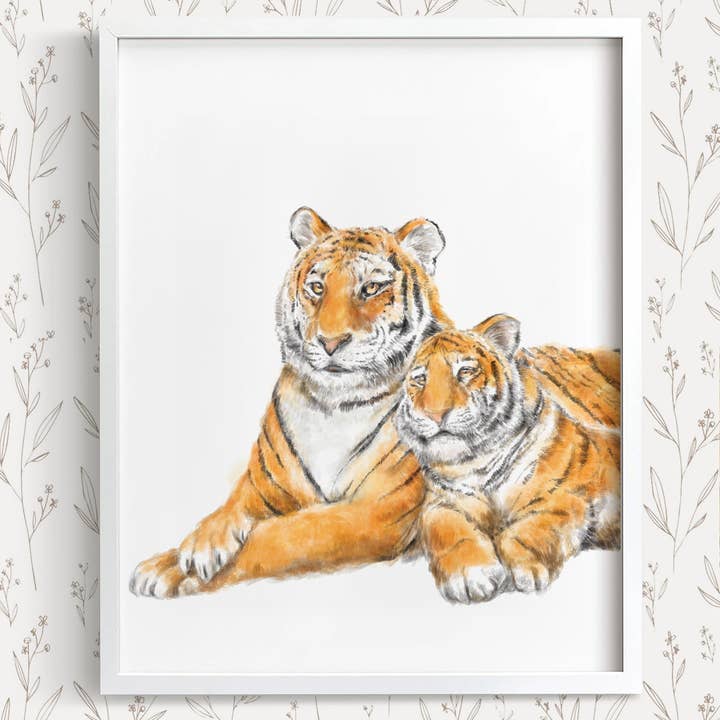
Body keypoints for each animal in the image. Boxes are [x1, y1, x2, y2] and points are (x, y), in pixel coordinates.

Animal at [129, 206, 452, 598]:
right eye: (317, 287)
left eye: (371, 288)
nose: (331, 342)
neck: (335, 406)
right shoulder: (262, 487)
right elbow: (233, 504)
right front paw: (188, 549)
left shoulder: (378, 512)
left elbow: (284, 535)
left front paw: (180, 571)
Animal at [394, 314, 621, 604]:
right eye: (420, 379)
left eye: (465, 371)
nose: (436, 415)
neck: (477, 459)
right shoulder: (443, 503)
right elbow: (449, 532)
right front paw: (470, 577)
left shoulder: (563, 496)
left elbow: (525, 531)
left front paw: (525, 572)